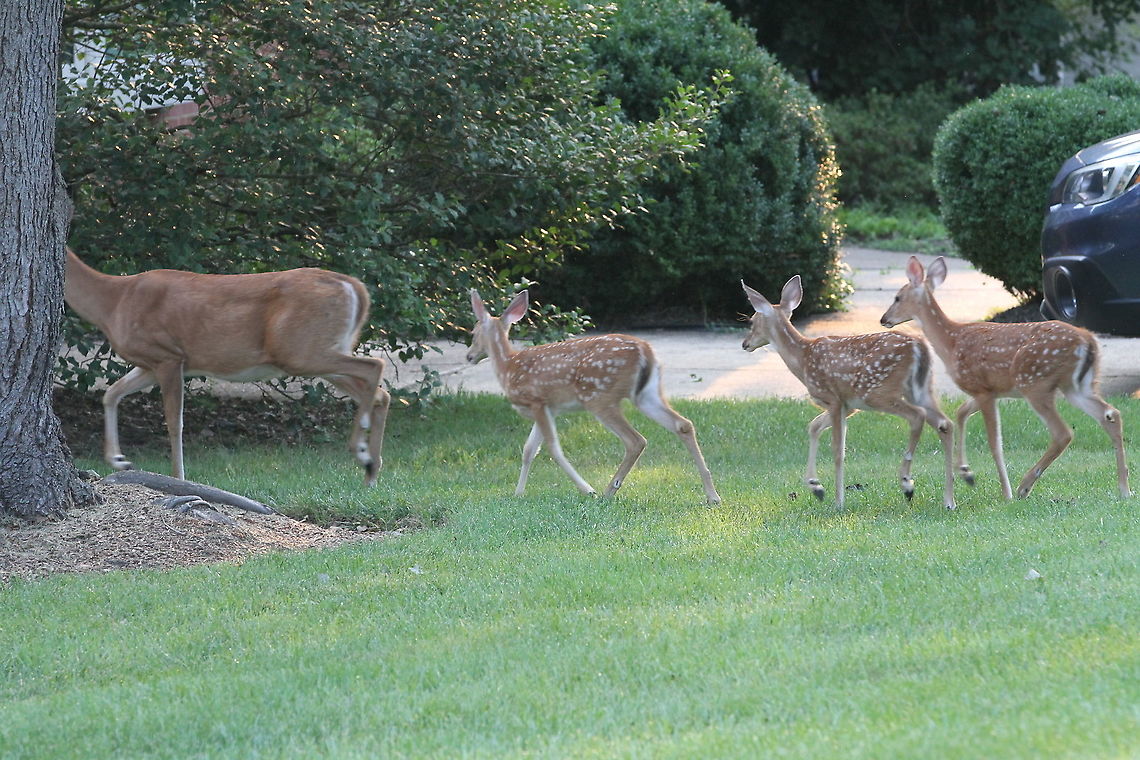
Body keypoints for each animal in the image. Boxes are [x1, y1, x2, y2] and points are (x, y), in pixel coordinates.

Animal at [63, 247, 391, 485]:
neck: (113, 302)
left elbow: (174, 422)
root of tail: (355, 287)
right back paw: (371, 472)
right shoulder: (150, 363)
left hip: (301, 352)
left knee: (374, 365)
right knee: (379, 393)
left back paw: (362, 451)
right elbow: (111, 394)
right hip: (319, 352)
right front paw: (119, 460)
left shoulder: (169, 356)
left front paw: (180, 478)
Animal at [467, 289, 721, 504]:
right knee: (683, 424)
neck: (508, 367)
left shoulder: (537, 400)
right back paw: (712, 496)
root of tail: (645, 351)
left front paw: (588, 490)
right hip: (645, 394)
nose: (469, 356)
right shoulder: (548, 408)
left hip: (599, 396)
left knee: (635, 440)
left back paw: (608, 492)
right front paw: (518, 493)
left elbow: (552, 449)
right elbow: (529, 450)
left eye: (473, 333)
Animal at [742, 276, 956, 510]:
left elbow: (837, 451)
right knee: (944, 424)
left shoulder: (834, 399)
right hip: (919, 388)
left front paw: (838, 501)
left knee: (917, 416)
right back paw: (949, 500)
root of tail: (919, 346)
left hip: (877, 391)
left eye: (752, 321)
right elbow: (814, 427)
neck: (802, 358)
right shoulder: (848, 405)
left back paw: (907, 484)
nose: (745, 343)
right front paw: (816, 487)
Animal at [880, 255, 1130, 500]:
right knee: (1110, 414)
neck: (951, 342)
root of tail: (1087, 340)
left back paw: (1023, 487)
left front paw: (1005, 492)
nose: (884, 319)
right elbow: (961, 412)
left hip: (1035, 382)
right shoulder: (988, 390)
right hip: (1076, 386)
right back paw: (1124, 489)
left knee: (1063, 433)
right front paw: (966, 473)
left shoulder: (982, 390)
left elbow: (994, 443)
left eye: (897, 297)